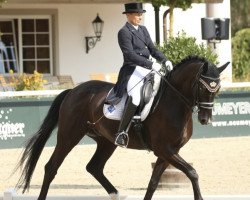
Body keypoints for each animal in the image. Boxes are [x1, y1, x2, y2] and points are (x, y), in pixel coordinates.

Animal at [16, 56, 229, 200]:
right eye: (202, 87)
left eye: (217, 88)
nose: (205, 119)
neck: (173, 102)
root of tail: (73, 91)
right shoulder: (165, 149)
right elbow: (192, 173)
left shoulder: (168, 152)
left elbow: (153, 183)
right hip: (69, 136)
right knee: (51, 167)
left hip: (106, 141)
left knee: (94, 167)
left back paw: (116, 194)